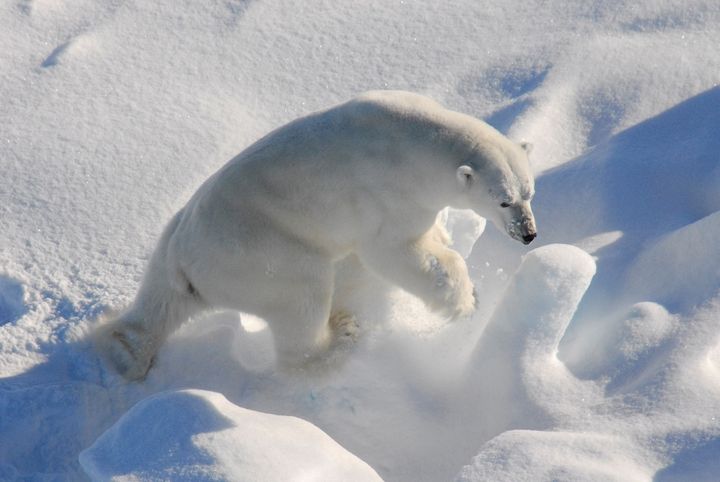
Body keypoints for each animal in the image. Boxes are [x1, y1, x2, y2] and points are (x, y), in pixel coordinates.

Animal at [97, 91, 536, 380]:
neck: (416, 139)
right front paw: (465, 301)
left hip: (171, 239)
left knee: (157, 303)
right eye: (503, 201)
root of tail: (185, 262)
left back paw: (124, 344)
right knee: (303, 298)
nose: (529, 233)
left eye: (529, 193)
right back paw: (340, 337)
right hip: (262, 255)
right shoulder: (390, 194)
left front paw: (448, 243)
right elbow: (393, 252)